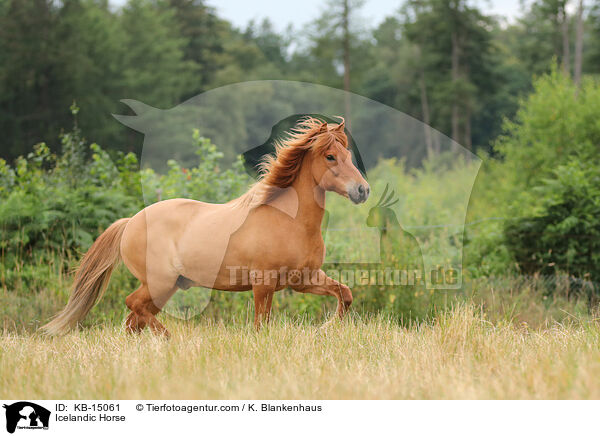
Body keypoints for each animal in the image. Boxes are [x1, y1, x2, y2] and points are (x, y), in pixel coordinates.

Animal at [41, 117, 370, 336]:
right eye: (330, 156)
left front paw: (326, 328)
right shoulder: (263, 284)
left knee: (134, 317)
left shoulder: (303, 279)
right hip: (159, 283)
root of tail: (130, 222)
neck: (289, 221)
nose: (362, 190)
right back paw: (168, 339)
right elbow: (261, 325)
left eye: (348, 156)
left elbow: (345, 294)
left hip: (164, 287)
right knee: (133, 306)